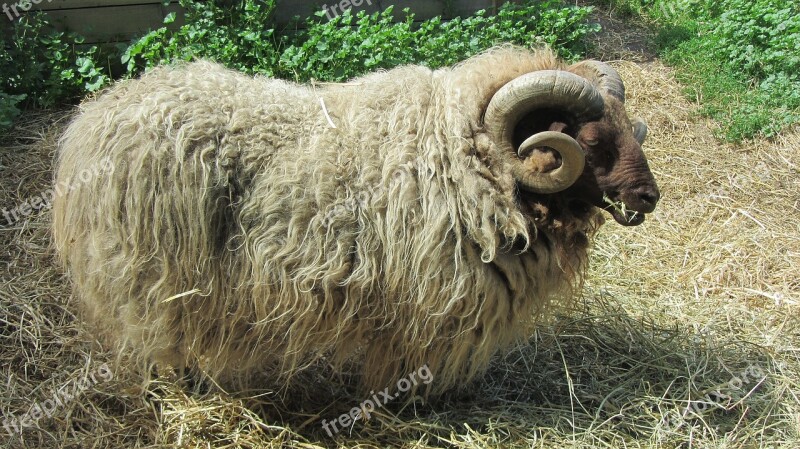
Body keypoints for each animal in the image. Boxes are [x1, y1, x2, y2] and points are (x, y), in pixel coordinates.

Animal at [53, 45, 660, 394]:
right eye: (590, 140)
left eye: (628, 124)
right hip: (153, 276)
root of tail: (93, 123)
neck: (468, 159)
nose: (649, 197)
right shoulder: (433, 303)